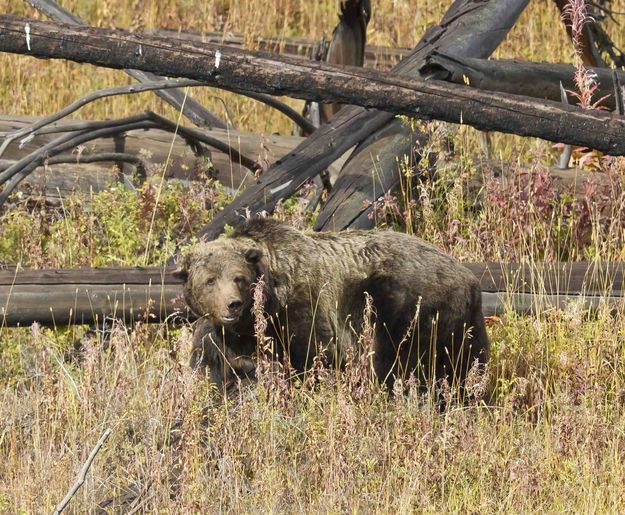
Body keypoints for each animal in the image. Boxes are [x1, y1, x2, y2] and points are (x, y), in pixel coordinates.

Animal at [176, 218, 488, 396]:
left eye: (238, 277)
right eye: (210, 280)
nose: (233, 305)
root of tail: (469, 277)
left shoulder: (305, 314)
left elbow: (313, 358)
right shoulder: (222, 338)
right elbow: (213, 366)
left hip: (404, 306)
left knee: (402, 363)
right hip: (462, 326)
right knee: (466, 366)